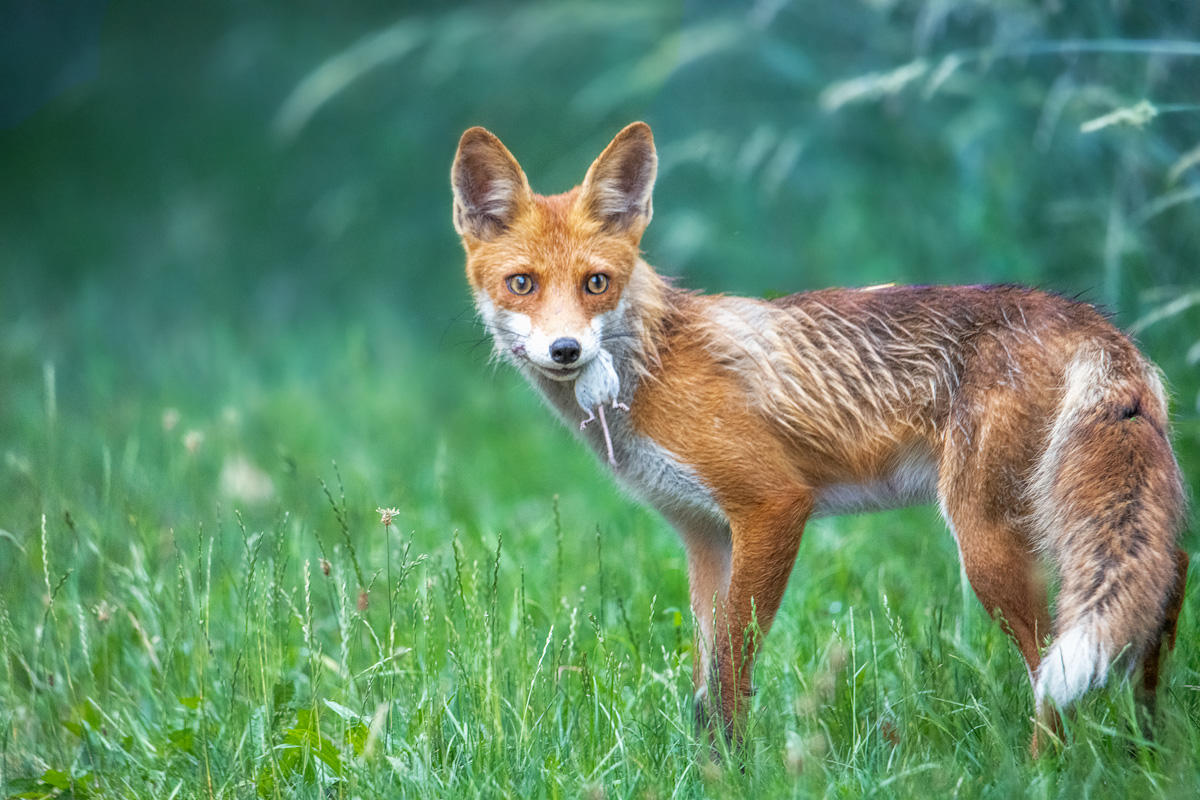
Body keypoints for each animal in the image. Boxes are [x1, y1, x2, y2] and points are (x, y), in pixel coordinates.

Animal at [451, 118, 1190, 753]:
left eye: (595, 283)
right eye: (523, 284)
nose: (566, 350)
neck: (651, 366)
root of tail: (1091, 320)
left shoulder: (773, 505)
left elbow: (733, 668)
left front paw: (733, 769)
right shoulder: (704, 535)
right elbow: (706, 678)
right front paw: (709, 762)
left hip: (992, 540)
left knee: (1050, 668)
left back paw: (1046, 766)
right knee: (1169, 572)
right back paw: (1149, 739)